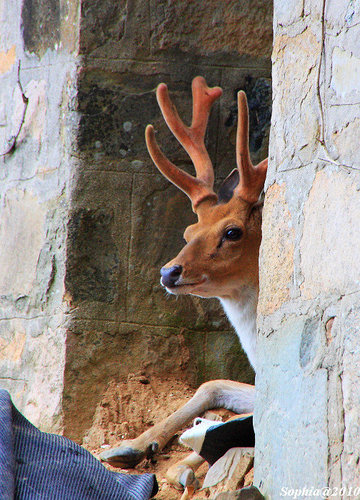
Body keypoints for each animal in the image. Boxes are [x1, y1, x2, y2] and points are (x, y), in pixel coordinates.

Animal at [100, 76, 268, 490]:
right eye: (189, 231)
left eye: (233, 231)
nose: (168, 272)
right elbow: (212, 383)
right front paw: (130, 445)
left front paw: (186, 464)